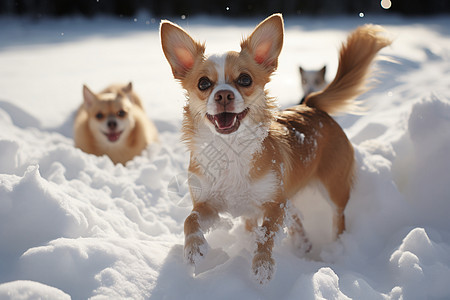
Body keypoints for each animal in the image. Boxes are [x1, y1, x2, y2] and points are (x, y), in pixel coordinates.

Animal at [161, 13, 390, 284]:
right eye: (203, 83)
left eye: (245, 79)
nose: (224, 95)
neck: (231, 149)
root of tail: (311, 104)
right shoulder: (208, 204)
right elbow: (190, 219)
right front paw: (194, 248)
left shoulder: (274, 203)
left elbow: (267, 233)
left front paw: (263, 264)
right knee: (293, 217)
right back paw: (301, 243)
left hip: (334, 188)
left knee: (338, 218)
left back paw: (335, 249)